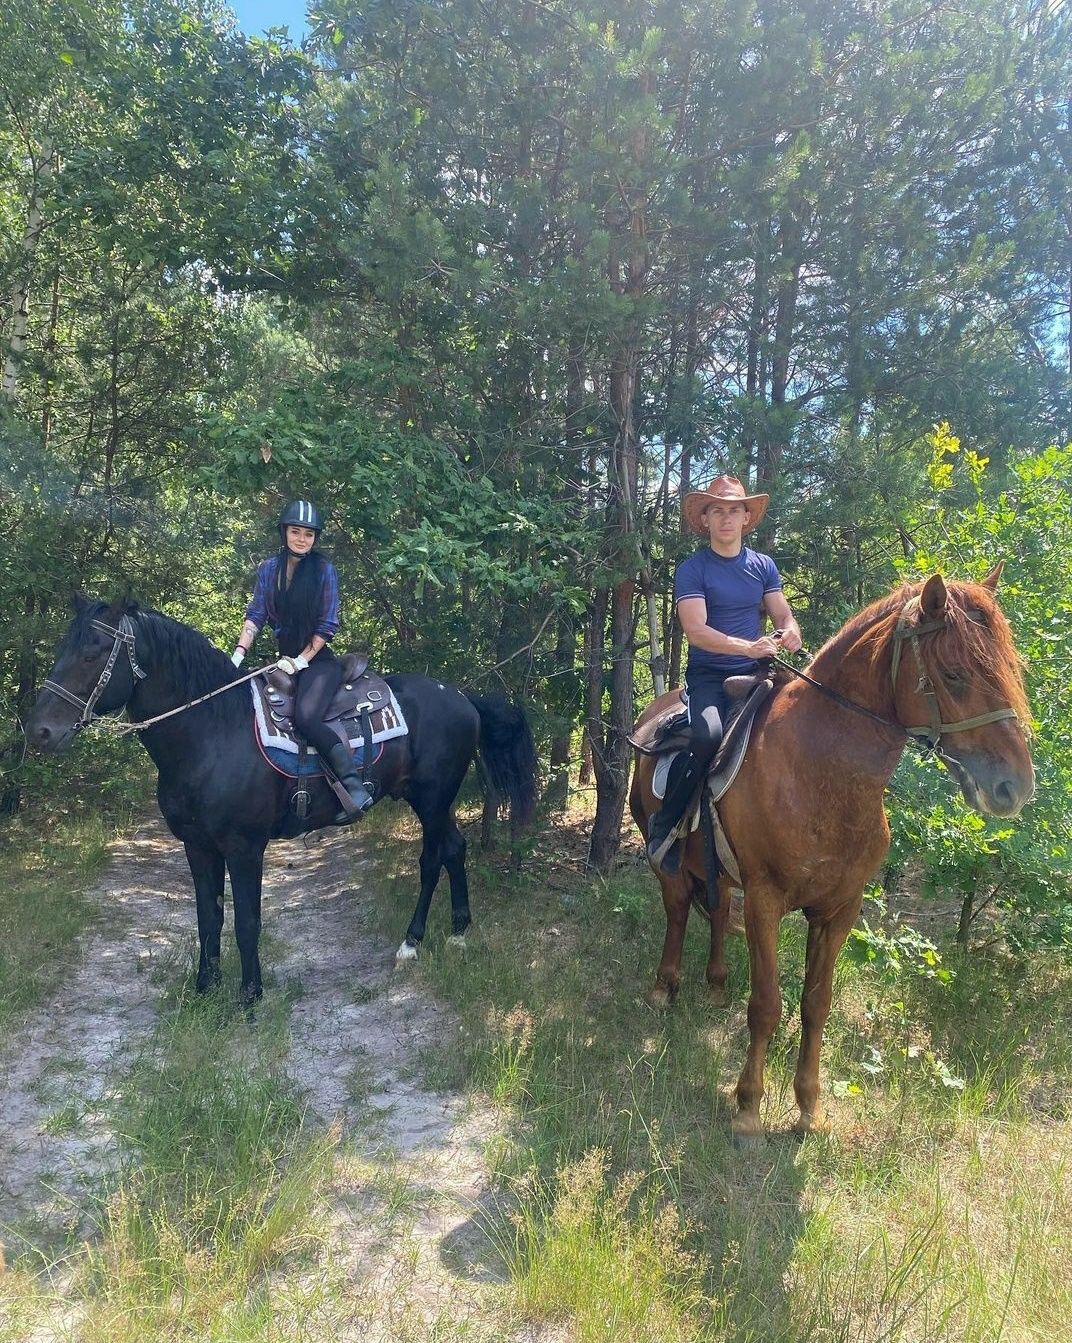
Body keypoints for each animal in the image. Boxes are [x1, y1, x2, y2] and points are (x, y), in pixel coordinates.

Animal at [27, 598, 537, 999]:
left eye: (92, 652)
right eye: (61, 649)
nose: (39, 731)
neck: (213, 731)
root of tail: (463, 696)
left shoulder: (244, 847)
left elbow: (247, 921)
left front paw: (249, 996)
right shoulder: (198, 846)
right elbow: (208, 917)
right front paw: (204, 989)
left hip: (432, 800)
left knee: (433, 859)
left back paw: (412, 942)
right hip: (430, 800)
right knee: (455, 849)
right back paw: (458, 933)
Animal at [634, 561, 1037, 1138]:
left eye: (1008, 669)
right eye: (955, 674)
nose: (1015, 787)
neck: (817, 770)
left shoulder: (839, 908)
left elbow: (815, 1003)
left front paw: (808, 1108)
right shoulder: (766, 901)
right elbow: (767, 1004)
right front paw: (748, 1108)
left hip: (720, 871)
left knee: (716, 907)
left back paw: (714, 985)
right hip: (666, 858)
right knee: (676, 910)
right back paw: (665, 987)